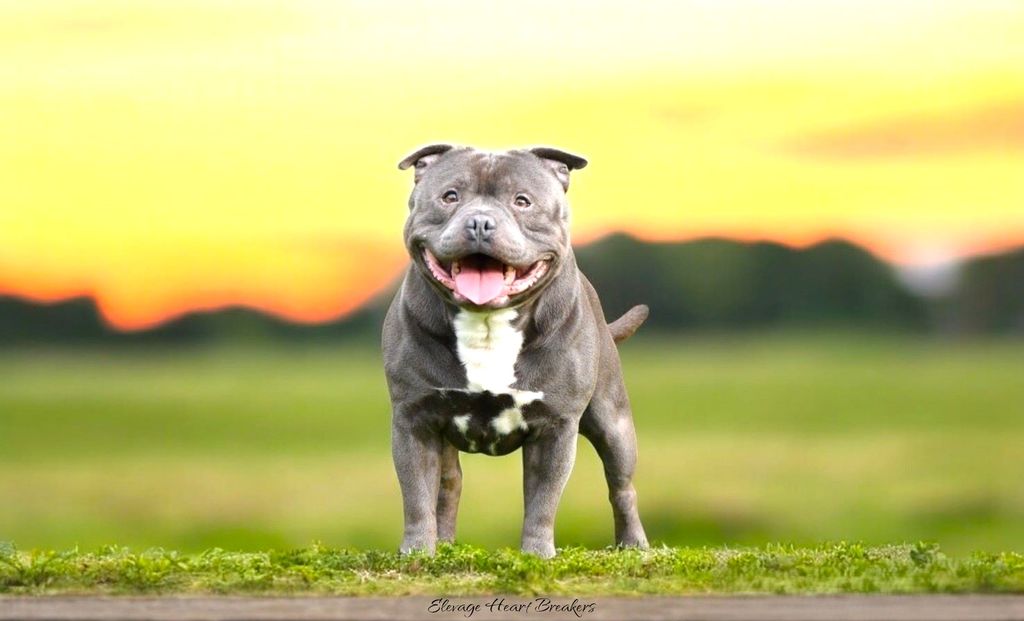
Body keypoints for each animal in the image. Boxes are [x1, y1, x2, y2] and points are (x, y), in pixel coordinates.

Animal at [385, 144, 647, 561]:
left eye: (522, 201)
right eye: (450, 196)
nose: (480, 222)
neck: (486, 322)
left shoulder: (555, 427)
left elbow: (542, 500)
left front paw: (537, 555)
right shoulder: (414, 419)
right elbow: (417, 496)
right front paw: (419, 552)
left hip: (613, 423)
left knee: (621, 484)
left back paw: (633, 543)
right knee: (448, 484)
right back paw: (445, 544)